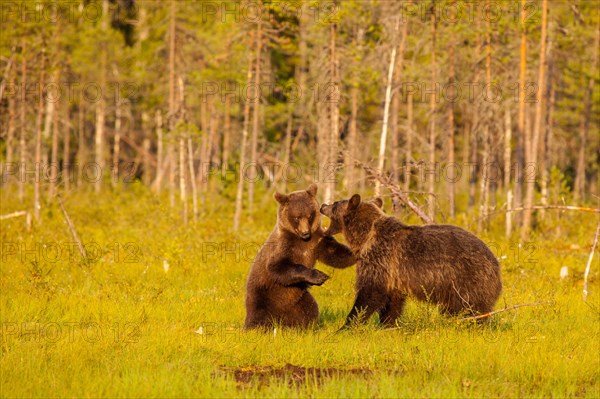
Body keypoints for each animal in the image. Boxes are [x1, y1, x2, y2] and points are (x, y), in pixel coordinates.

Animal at [245, 186, 356, 330]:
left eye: (309, 215)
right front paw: (319, 276)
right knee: (258, 315)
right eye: (296, 217)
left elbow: (335, 253)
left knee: (309, 309)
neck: (301, 240)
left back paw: (302, 326)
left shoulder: (318, 241)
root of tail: (279, 319)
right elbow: (278, 267)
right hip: (262, 294)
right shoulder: (283, 246)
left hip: (298, 299)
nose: (305, 232)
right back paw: (256, 327)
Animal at [318, 195, 502, 330]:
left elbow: (370, 293)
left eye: (335, 203)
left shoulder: (379, 259)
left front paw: (346, 326)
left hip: (469, 277)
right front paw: (387, 325)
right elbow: (393, 301)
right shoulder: (393, 274)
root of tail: (496, 263)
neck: (365, 237)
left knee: (472, 307)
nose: (323, 205)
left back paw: (473, 325)